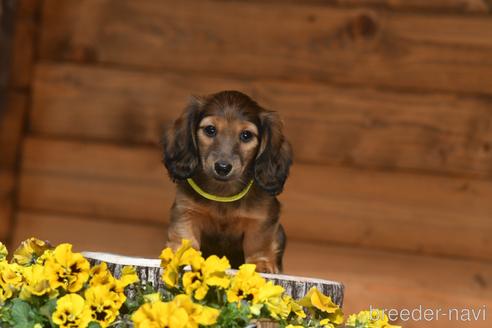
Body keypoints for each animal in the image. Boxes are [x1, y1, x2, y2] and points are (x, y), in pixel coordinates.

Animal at [161, 90, 292, 274]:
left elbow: (258, 242)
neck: (223, 192)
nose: (222, 167)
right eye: (210, 130)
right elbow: (185, 236)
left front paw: (261, 263)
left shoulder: (262, 218)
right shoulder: (186, 210)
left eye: (246, 135)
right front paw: (182, 255)